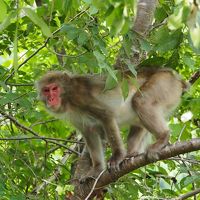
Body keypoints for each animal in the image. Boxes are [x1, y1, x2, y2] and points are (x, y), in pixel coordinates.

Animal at [36, 68, 189, 180]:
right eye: (46, 90)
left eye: (54, 88)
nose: (50, 99)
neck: (67, 98)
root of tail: (175, 77)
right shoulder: (77, 119)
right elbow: (89, 133)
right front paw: (97, 169)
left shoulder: (80, 97)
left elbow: (106, 115)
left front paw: (117, 157)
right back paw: (132, 155)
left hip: (164, 83)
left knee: (140, 102)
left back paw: (162, 137)